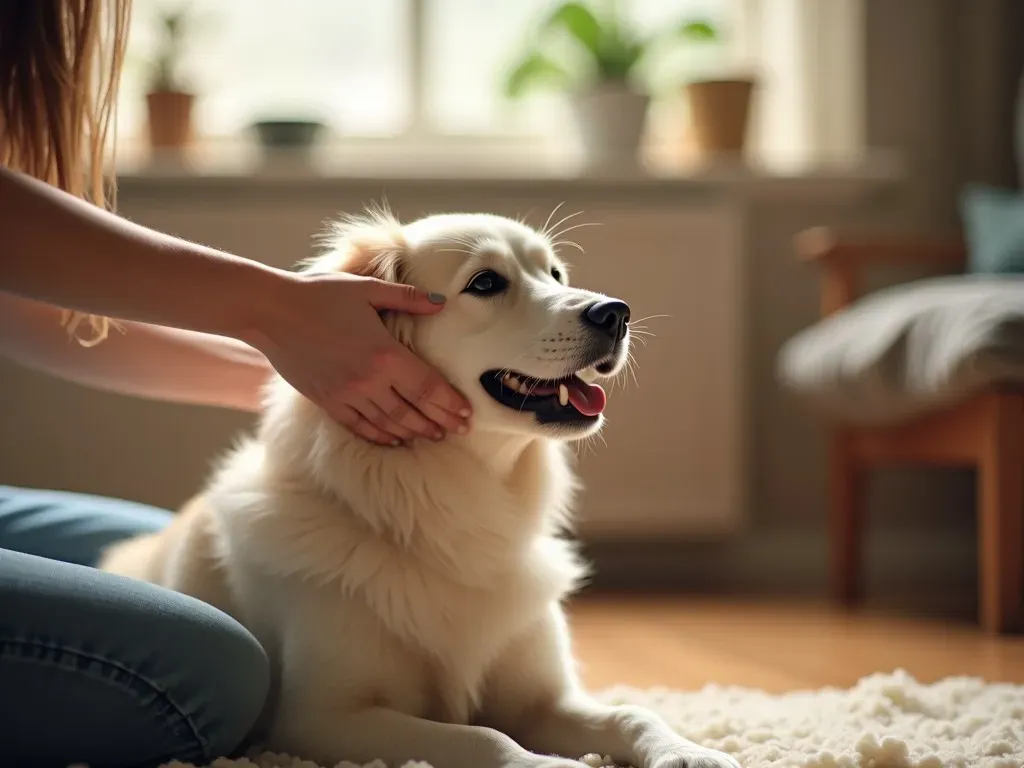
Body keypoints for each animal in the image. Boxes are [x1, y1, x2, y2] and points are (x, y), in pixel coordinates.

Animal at [99, 210, 741, 768]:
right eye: (486, 283)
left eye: (555, 273)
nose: (616, 313)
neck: (448, 504)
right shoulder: (321, 720)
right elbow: (484, 737)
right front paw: (551, 766)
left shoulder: (542, 700)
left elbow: (631, 712)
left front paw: (690, 751)